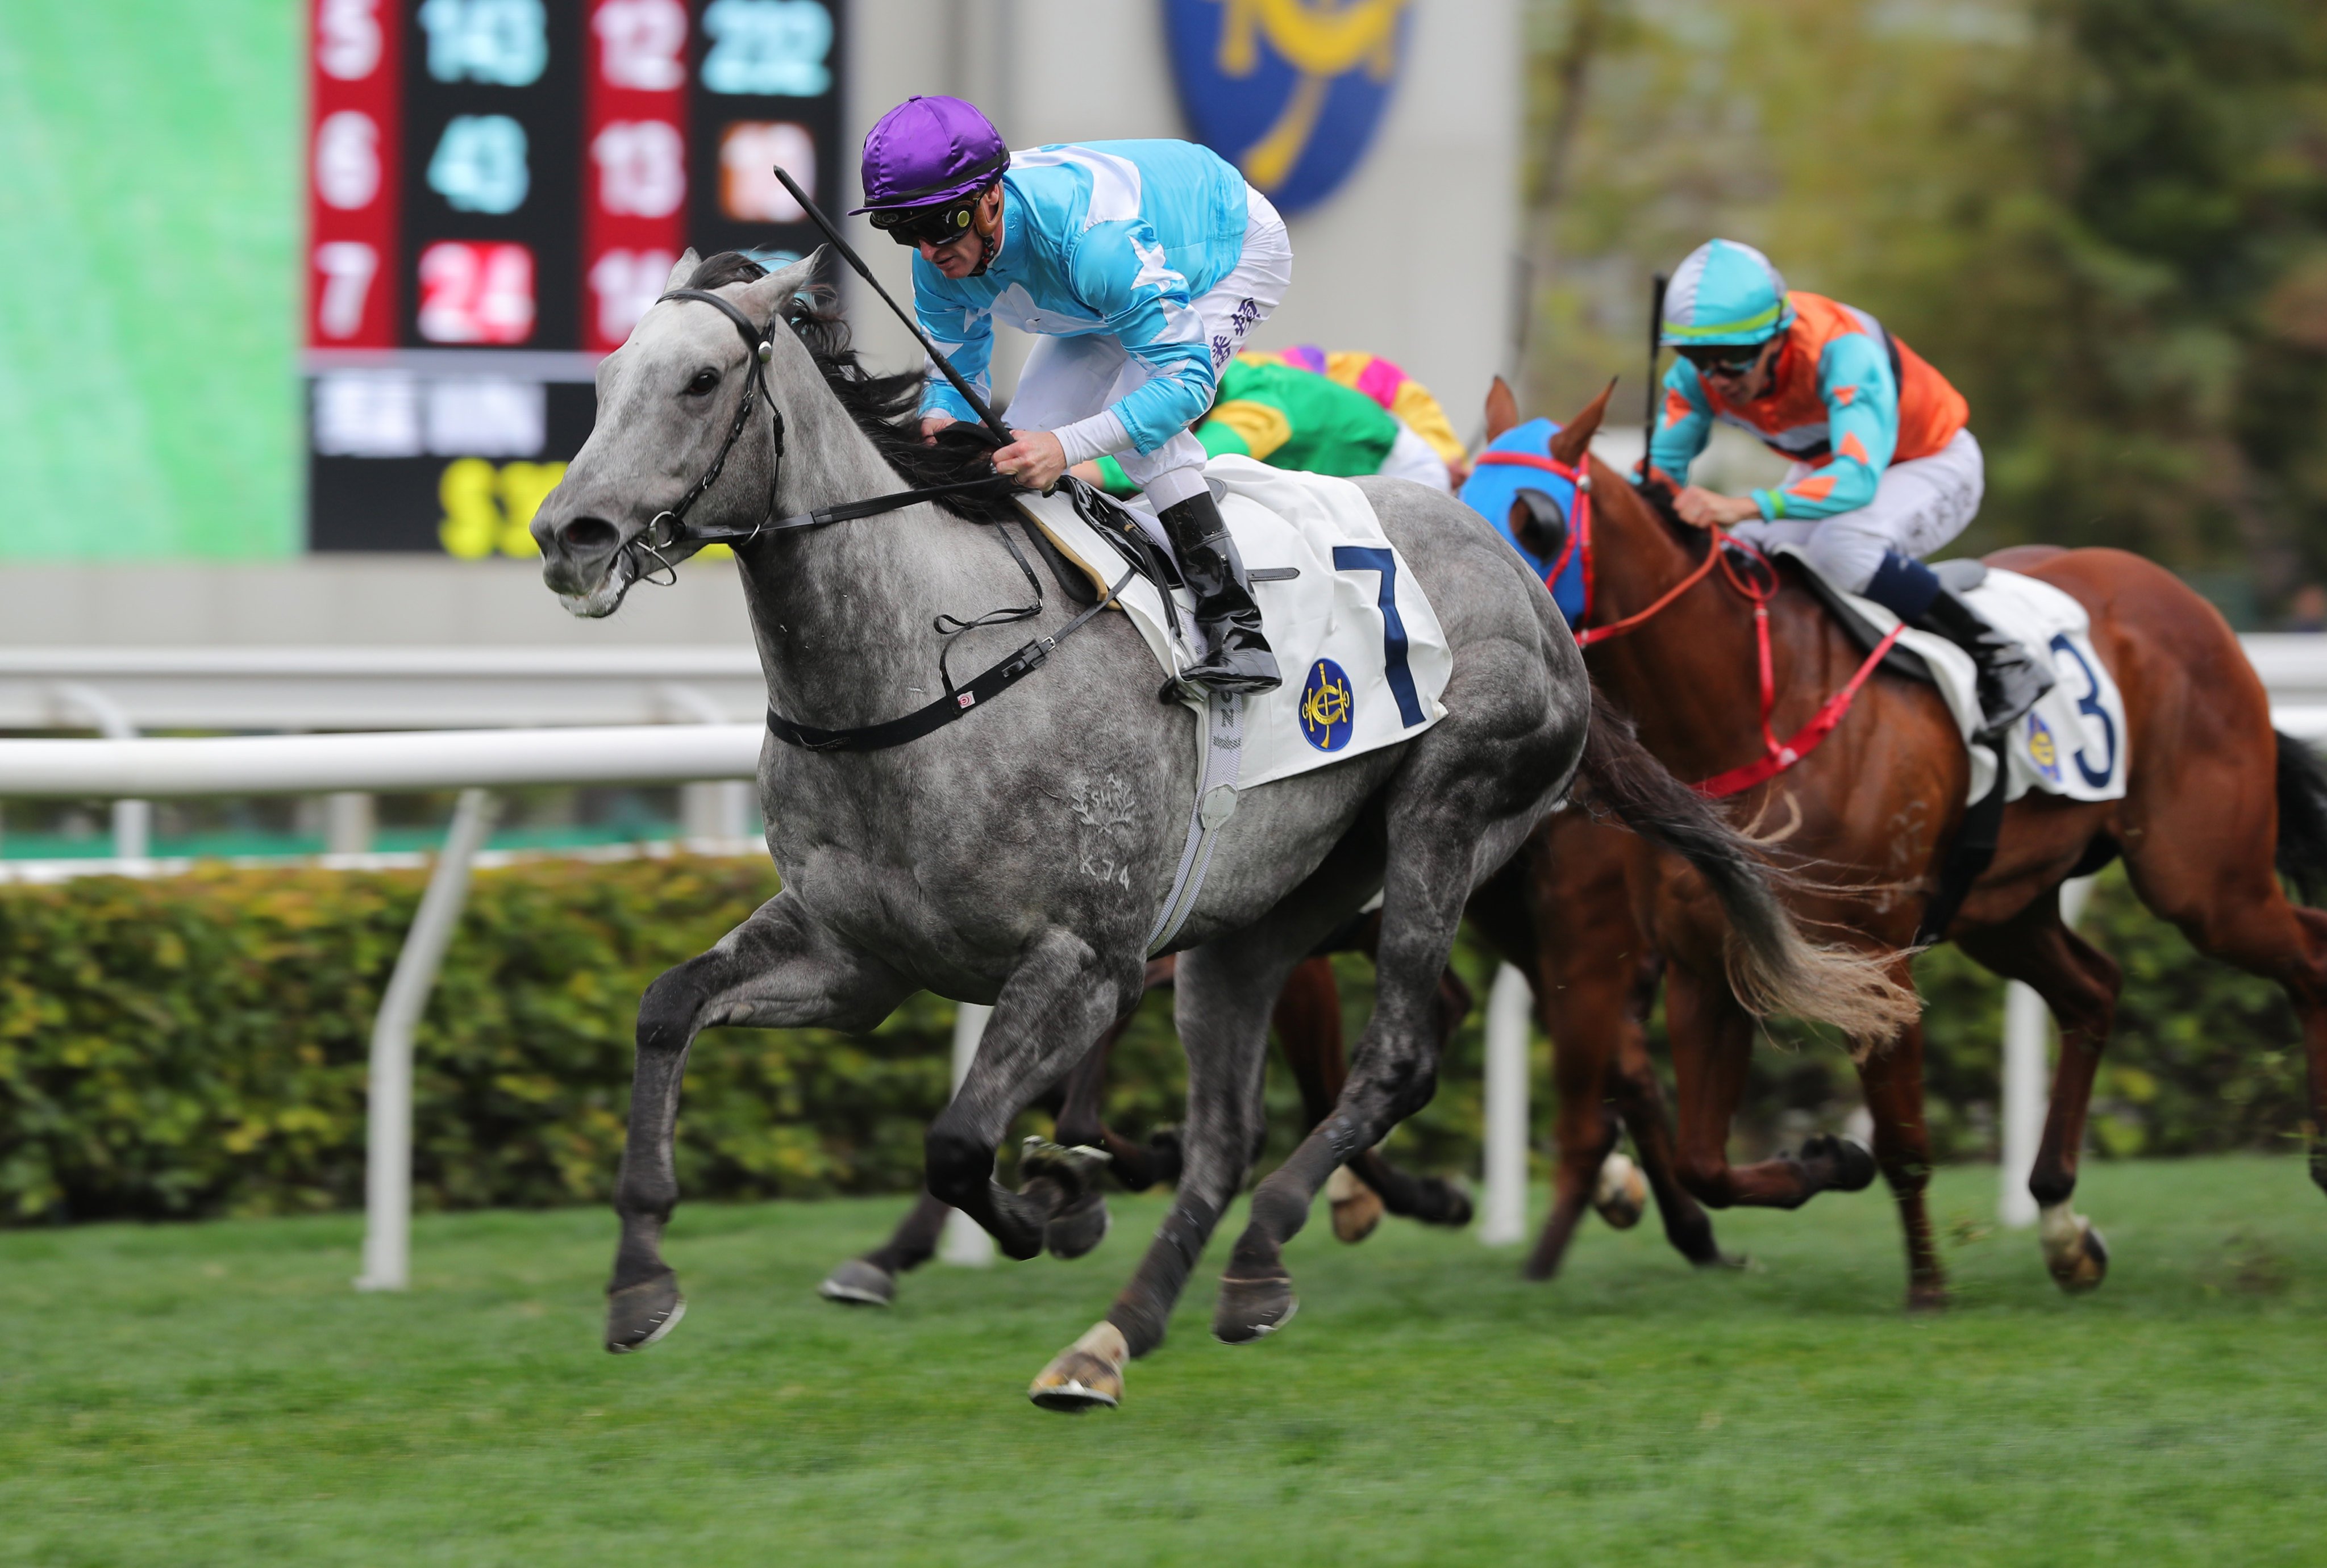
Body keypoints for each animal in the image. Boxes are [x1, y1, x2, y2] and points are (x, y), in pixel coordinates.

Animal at [532, 253, 1908, 1405]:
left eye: (701, 381)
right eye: (603, 382)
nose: (568, 536)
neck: (924, 670)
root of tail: (1528, 584)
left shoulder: (1083, 963)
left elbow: (961, 1144)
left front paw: (1052, 1203)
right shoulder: (858, 956)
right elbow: (666, 1005)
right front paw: (641, 1280)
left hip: (1448, 822)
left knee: (1396, 1060)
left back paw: (1268, 1254)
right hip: (1265, 920)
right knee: (1232, 1131)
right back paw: (1117, 1335)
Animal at [1508, 383, 2327, 1303]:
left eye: (1535, 520)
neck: (1754, 714)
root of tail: (2185, 602)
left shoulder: (1874, 954)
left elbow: (1903, 1143)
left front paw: (1927, 1289)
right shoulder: (1702, 961)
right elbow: (1702, 1163)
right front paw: (1828, 1160)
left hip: (2201, 880)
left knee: (2308, 954)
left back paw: (2319, 1156)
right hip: (2004, 906)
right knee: (2094, 991)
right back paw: (2061, 1225)